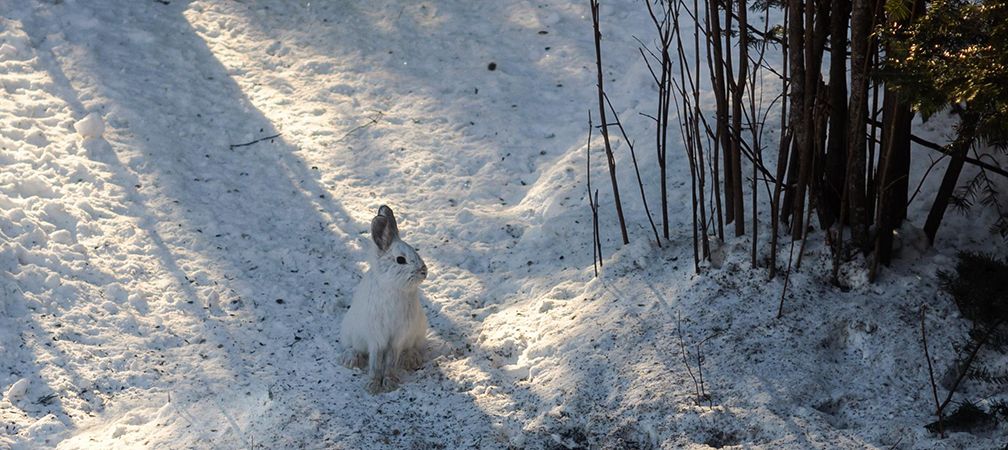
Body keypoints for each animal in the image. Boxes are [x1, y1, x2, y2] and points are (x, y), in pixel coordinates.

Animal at [340, 205, 429, 394]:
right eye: (400, 260)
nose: (424, 272)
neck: (394, 288)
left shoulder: (398, 337)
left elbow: (391, 360)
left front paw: (389, 382)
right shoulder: (376, 336)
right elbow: (375, 360)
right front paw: (373, 385)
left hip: (418, 332)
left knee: (411, 348)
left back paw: (410, 359)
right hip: (350, 332)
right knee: (353, 347)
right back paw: (350, 359)